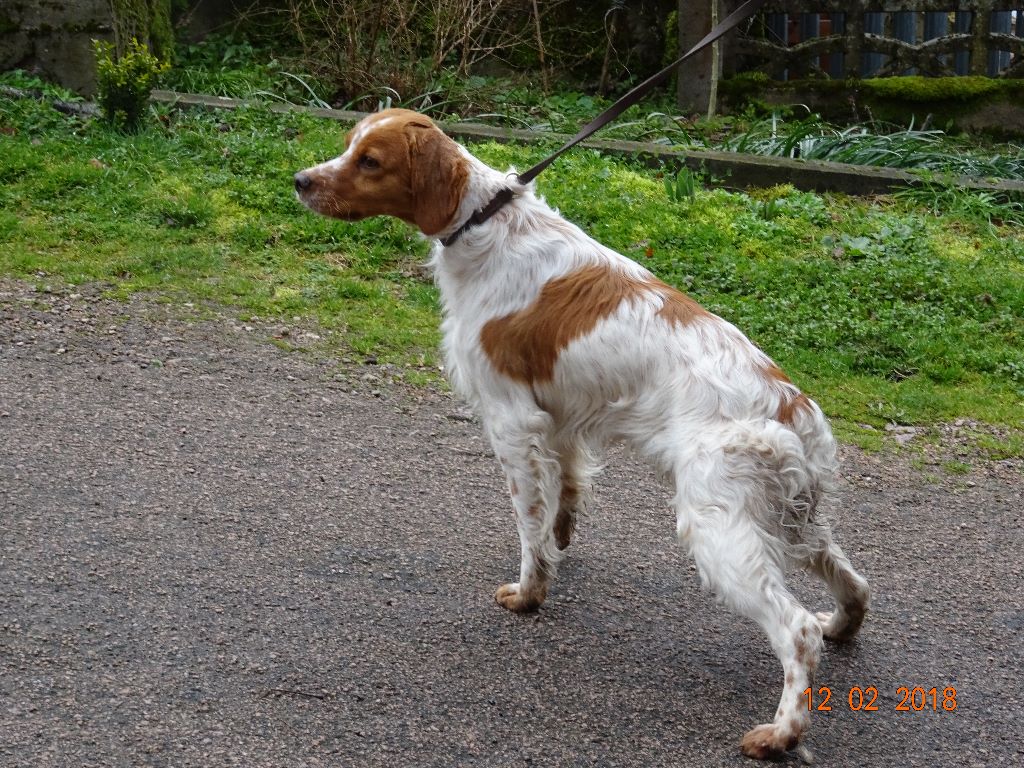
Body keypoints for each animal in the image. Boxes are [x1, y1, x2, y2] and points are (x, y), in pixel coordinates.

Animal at [296, 109, 872, 765]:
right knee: (856, 584)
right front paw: (562, 539)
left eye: (370, 161)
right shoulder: (560, 413)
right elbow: (565, 491)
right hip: (797, 522)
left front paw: (530, 593)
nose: (300, 181)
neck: (487, 225)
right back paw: (839, 625)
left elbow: (527, 523)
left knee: (795, 632)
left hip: (717, 528)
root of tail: (791, 408)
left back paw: (780, 733)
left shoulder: (511, 420)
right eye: (349, 146)